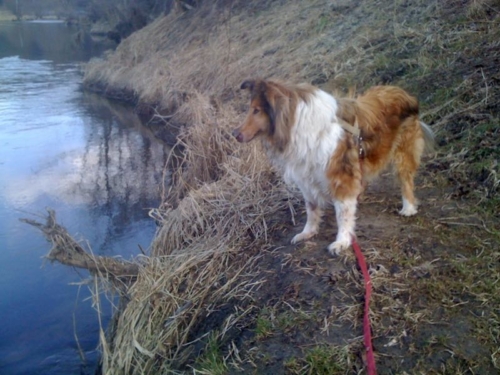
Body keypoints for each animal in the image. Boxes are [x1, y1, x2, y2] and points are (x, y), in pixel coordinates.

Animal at [232, 79, 436, 256]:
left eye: (256, 110)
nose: (235, 134)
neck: (297, 123)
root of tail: (403, 93)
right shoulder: (307, 175)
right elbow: (312, 208)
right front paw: (308, 232)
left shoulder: (340, 175)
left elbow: (343, 214)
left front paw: (342, 241)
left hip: (403, 153)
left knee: (406, 180)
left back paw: (408, 208)